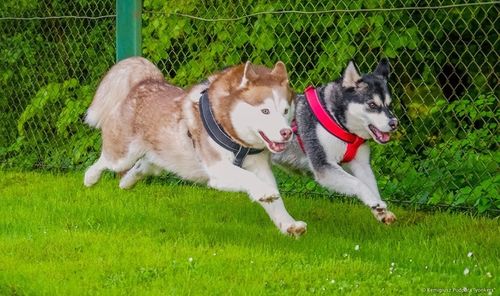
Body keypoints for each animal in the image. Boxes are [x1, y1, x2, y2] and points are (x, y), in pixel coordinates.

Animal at [84, 57, 306, 236]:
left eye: (286, 110)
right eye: (265, 111)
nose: (287, 133)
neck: (235, 137)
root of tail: (145, 82)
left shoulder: (260, 167)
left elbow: (276, 199)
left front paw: (289, 225)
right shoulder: (218, 169)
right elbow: (249, 178)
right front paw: (265, 193)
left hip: (162, 159)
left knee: (143, 166)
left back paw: (126, 182)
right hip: (122, 155)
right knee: (104, 161)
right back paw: (90, 178)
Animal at [274, 59, 398, 223]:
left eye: (389, 105)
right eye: (372, 104)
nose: (394, 123)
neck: (336, 120)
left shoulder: (361, 165)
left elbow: (372, 186)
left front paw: (381, 210)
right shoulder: (324, 166)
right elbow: (358, 183)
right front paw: (374, 202)